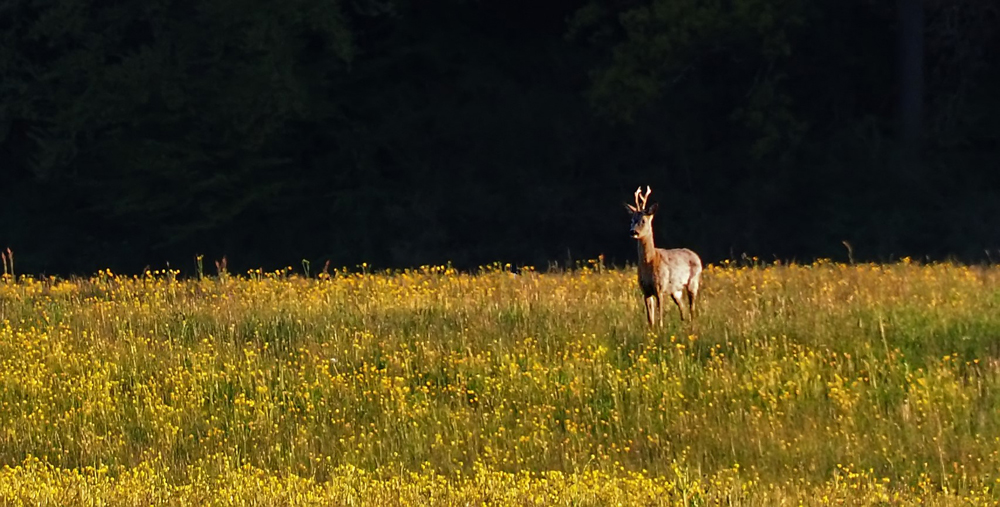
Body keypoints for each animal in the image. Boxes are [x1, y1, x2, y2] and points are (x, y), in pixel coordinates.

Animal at [624, 186, 704, 326]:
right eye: (632, 220)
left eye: (643, 220)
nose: (633, 232)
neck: (650, 261)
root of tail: (695, 255)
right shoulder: (645, 290)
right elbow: (650, 319)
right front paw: (651, 331)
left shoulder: (660, 287)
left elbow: (660, 316)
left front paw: (661, 330)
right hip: (676, 290)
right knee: (683, 308)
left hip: (693, 283)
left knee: (692, 310)